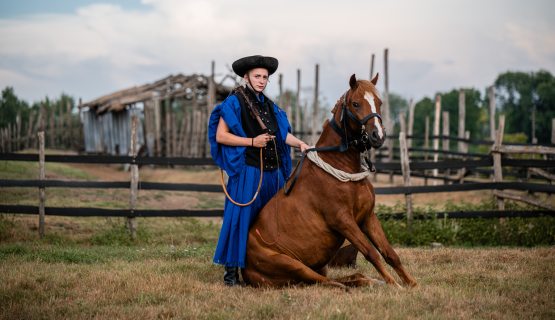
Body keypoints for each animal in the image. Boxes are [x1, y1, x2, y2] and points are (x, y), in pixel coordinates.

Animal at [241, 74, 420, 290]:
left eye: (379, 102)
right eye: (355, 103)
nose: (378, 135)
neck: (342, 168)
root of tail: (245, 270)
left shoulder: (367, 217)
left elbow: (389, 253)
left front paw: (411, 283)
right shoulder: (343, 221)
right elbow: (372, 253)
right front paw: (394, 285)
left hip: (319, 266)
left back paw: (366, 280)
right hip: (293, 265)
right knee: (325, 282)